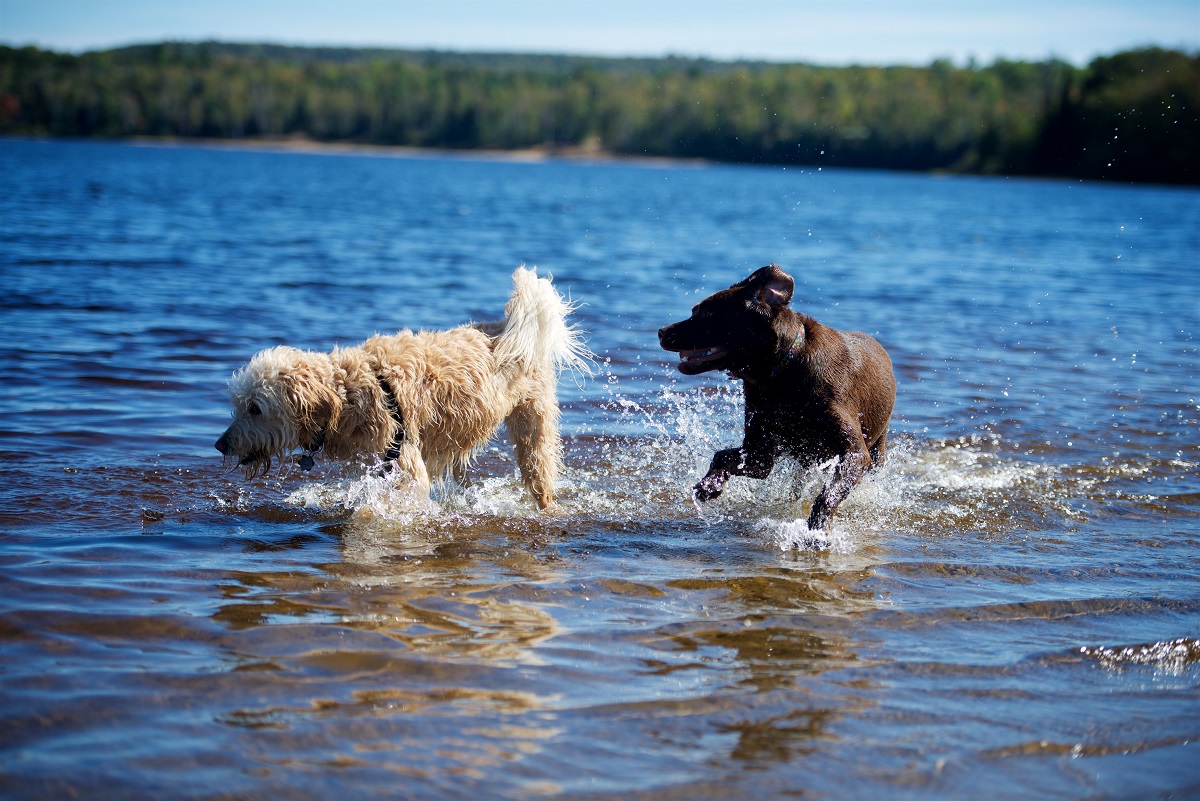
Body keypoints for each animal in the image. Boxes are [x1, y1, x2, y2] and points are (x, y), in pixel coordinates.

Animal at [218, 267, 592, 506]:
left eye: (255, 408)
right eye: (237, 405)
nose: (220, 445)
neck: (348, 393)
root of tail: (507, 329)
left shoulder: (405, 464)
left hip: (534, 434)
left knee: (541, 480)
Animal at [662, 266, 897, 534]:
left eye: (705, 313)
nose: (661, 332)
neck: (781, 377)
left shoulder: (855, 453)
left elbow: (828, 495)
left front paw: (816, 531)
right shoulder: (759, 454)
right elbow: (722, 456)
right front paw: (710, 484)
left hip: (877, 447)